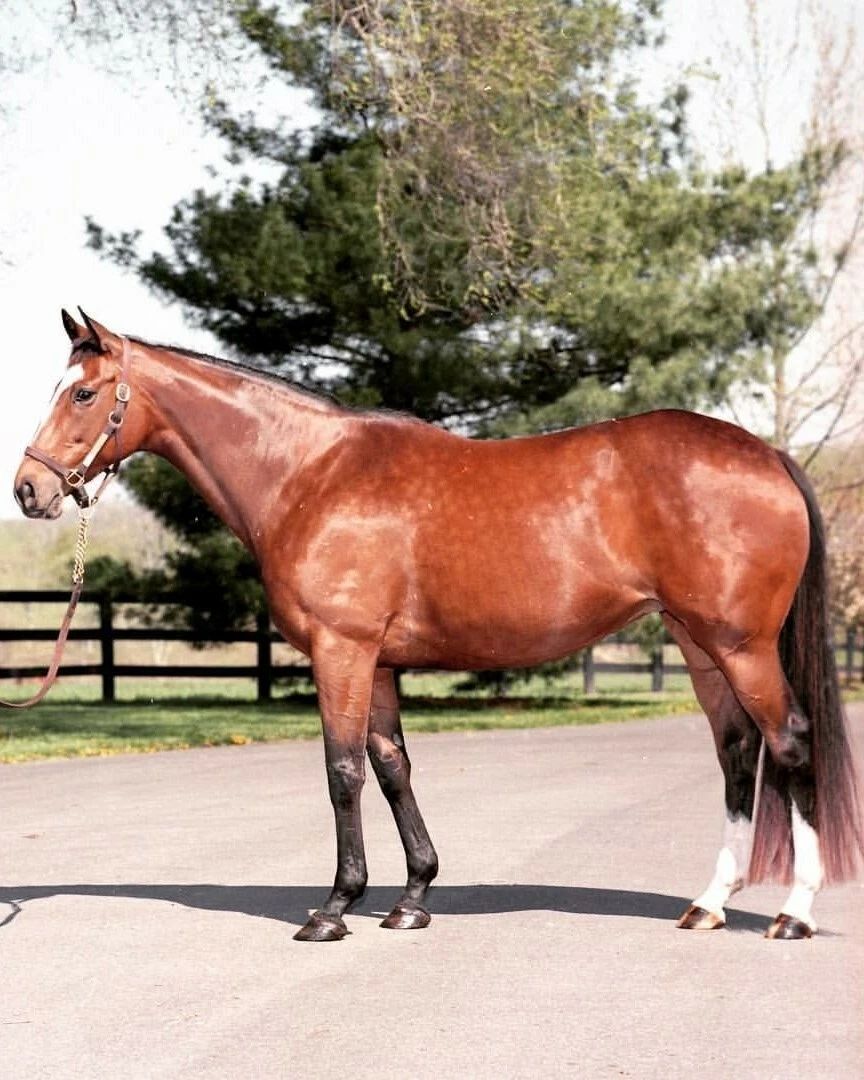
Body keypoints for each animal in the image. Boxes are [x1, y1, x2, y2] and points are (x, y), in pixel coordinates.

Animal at [13, 309, 863, 942]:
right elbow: (393, 768)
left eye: (83, 394)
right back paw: (709, 904)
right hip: (699, 645)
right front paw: (412, 898)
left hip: (741, 645)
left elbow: (343, 771)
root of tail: (769, 456)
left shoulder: (343, 651)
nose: (28, 490)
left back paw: (792, 914)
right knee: (739, 750)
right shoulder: (380, 661)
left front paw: (335, 908)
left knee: (790, 742)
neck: (308, 473)